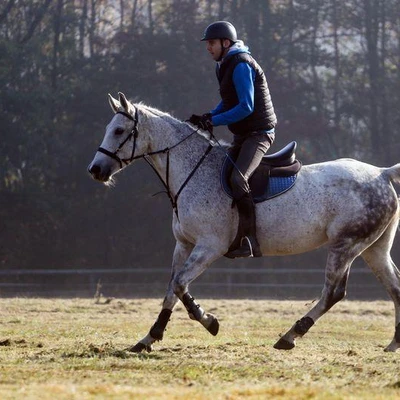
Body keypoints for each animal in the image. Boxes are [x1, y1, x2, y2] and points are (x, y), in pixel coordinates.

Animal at [88, 92, 400, 352]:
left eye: (119, 130)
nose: (95, 170)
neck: (193, 170)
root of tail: (382, 173)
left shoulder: (210, 246)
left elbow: (179, 285)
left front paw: (209, 321)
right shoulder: (184, 245)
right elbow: (171, 290)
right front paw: (148, 338)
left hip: (344, 246)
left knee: (333, 292)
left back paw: (290, 336)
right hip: (374, 249)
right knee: (394, 287)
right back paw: (394, 343)